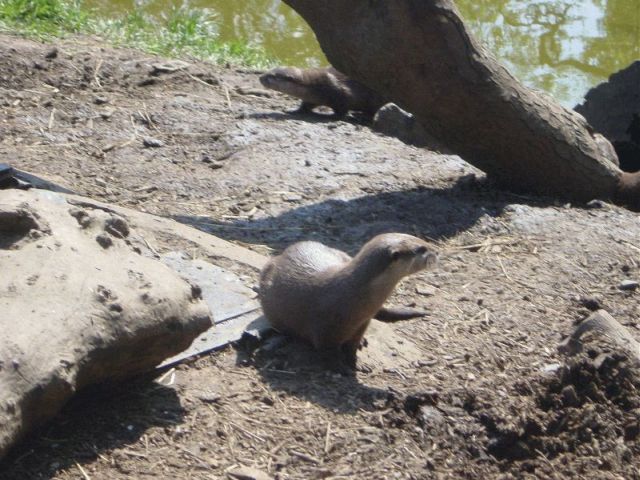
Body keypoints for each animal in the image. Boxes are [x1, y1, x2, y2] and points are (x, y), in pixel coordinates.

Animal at [259, 233, 438, 370]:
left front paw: (357, 363)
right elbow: (329, 354)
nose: (436, 251)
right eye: (421, 249)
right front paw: (342, 368)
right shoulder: (324, 331)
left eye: (421, 239)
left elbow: (352, 347)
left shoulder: (362, 324)